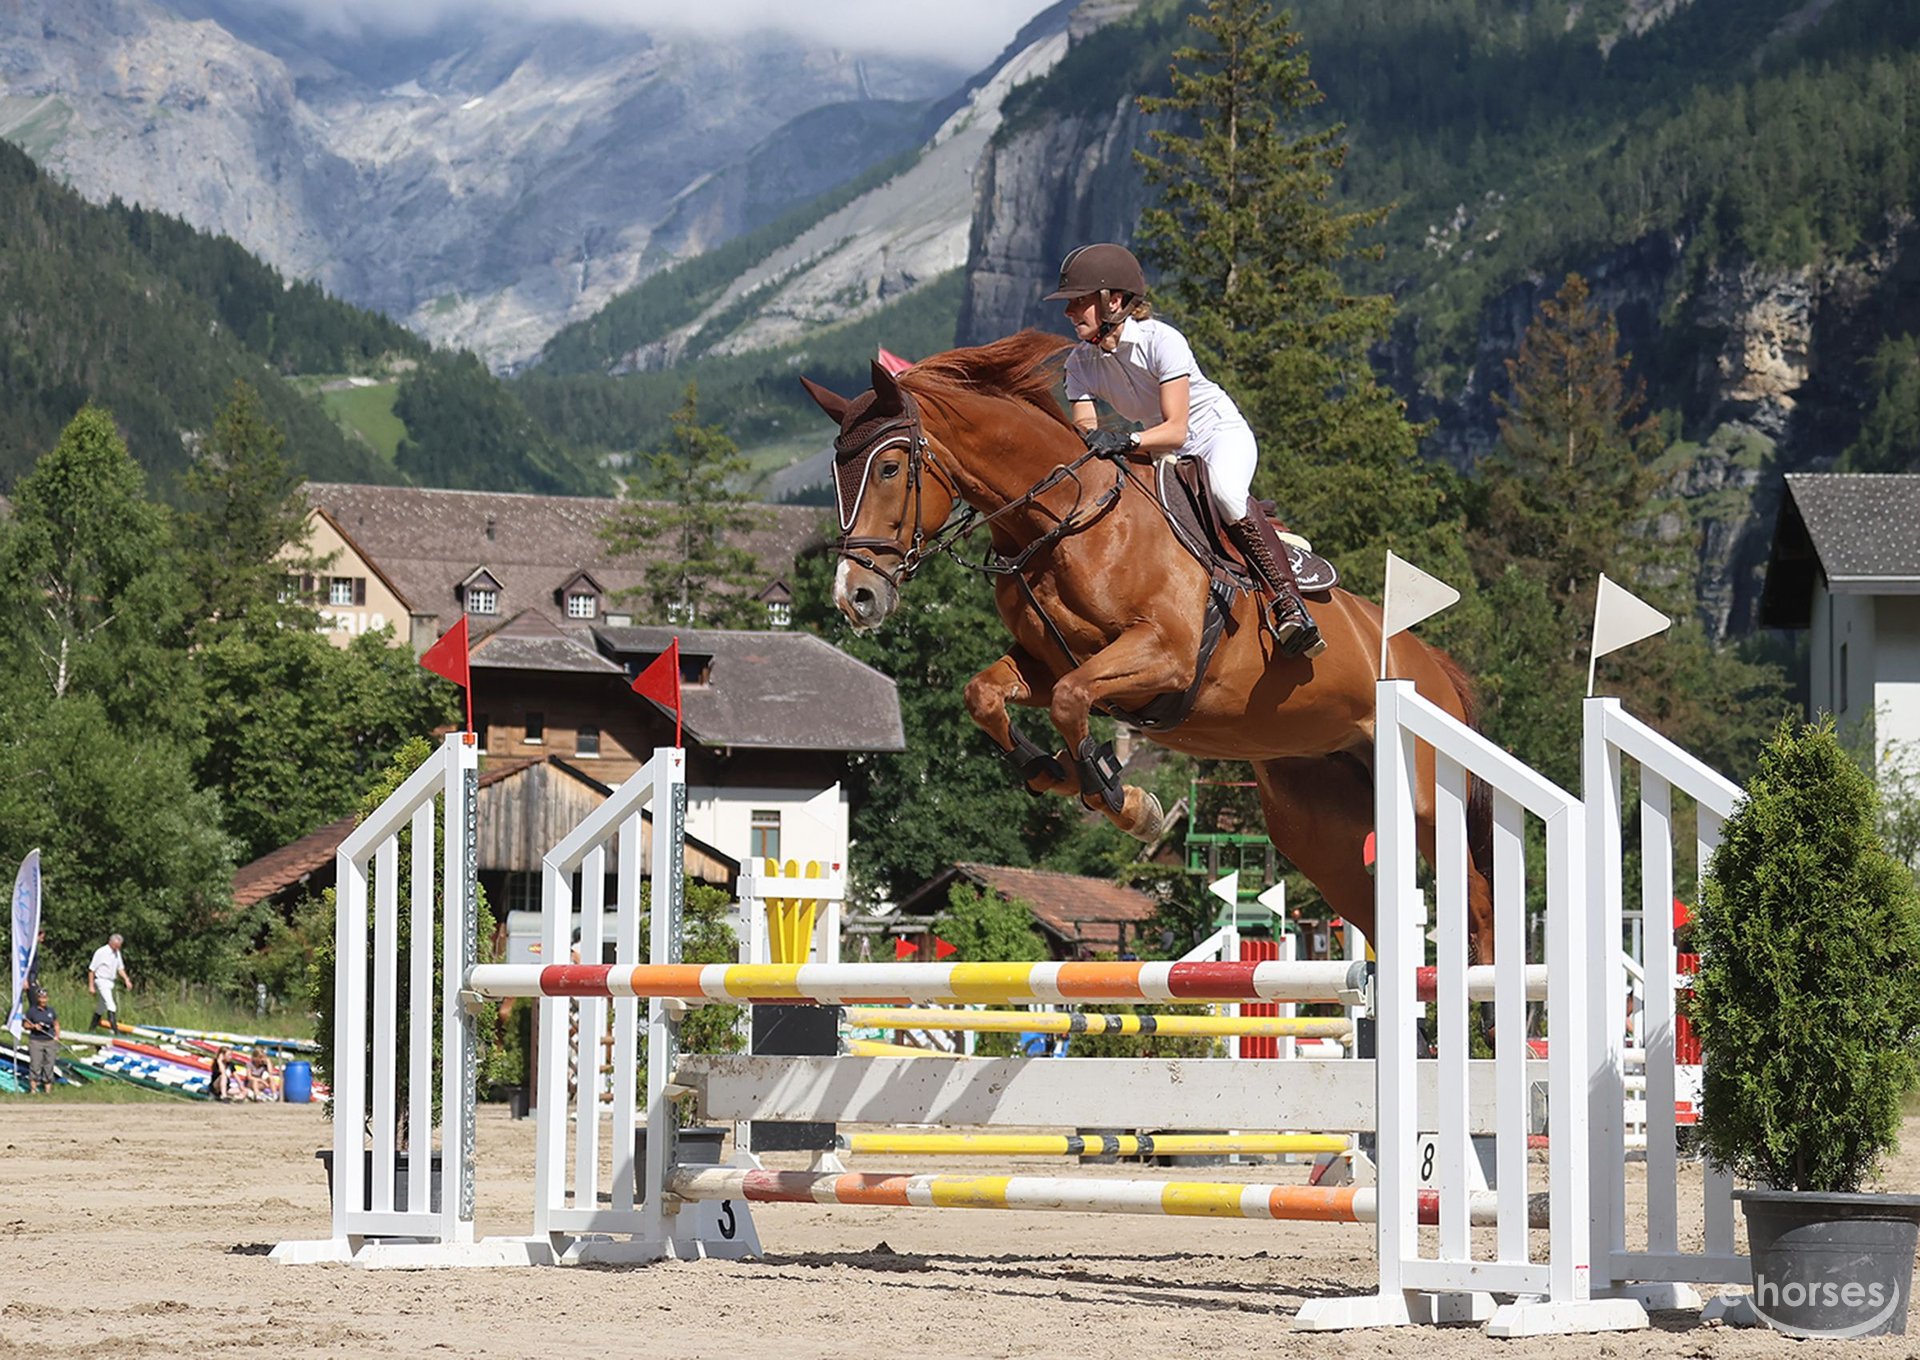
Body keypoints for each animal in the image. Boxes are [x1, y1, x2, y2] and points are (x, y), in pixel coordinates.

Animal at [802, 328, 1489, 956]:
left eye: (890, 467)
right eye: (837, 471)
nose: (854, 596)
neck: (1063, 520)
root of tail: (1432, 664)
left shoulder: (1166, 656)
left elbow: (1072, 699)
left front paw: (1121, 799)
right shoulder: (1047, 663)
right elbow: (987, 694)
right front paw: (1055, 772)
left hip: (1427, 800)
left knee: (1477, 903)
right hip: (1316, 821)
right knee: (1371, 912)